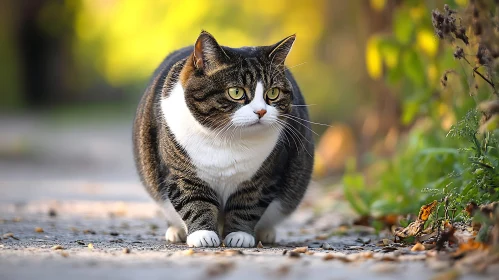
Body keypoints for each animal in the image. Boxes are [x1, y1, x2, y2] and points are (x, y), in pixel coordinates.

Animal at [133, 30, 312, 247]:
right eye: (236, 92)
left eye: (273, 92)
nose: (261, 111)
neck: (226, 138)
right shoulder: (180, 173)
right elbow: (194, 201)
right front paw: (202, 234)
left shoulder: (263, 177)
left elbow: (248, 204)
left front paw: (240, 235)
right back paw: (176, 231)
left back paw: (265, 233)